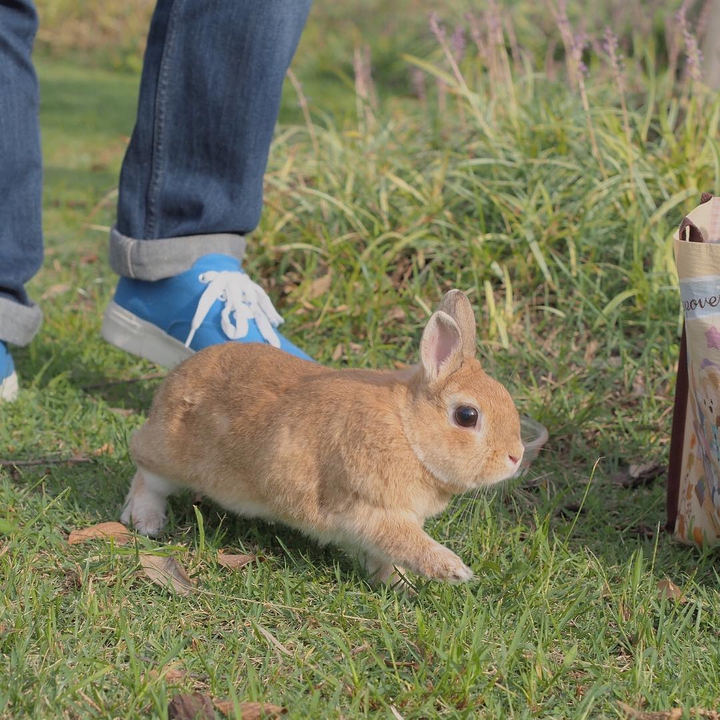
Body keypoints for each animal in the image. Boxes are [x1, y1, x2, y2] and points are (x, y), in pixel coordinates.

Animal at [121, 290, 524, 587]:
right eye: (467, 416)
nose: (516, 457)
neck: (408, 432)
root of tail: (170, 387)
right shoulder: (368, 509)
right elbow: (404, 542)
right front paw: (454, 571)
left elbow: (385, 556)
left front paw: (396, 584)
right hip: (171, 457)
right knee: (146, 475)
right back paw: (146, 520)